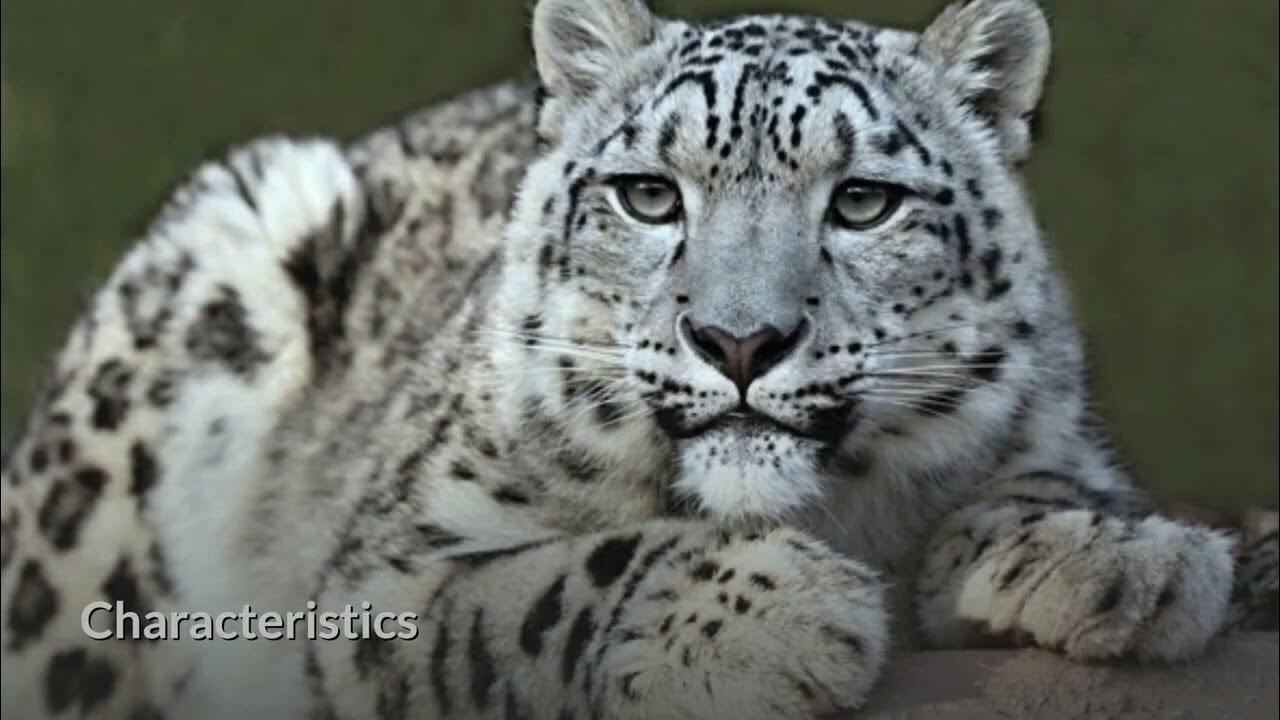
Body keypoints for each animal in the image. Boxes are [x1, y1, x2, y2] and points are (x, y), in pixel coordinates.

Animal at [2, 0, 1276, 718]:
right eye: (648, 194)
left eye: (862, 200)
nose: (739, 340)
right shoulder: (382, 580)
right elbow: (541, 583)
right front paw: (775, 617)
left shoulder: (1043, 432)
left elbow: (1039, 482)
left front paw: (1115, 559)